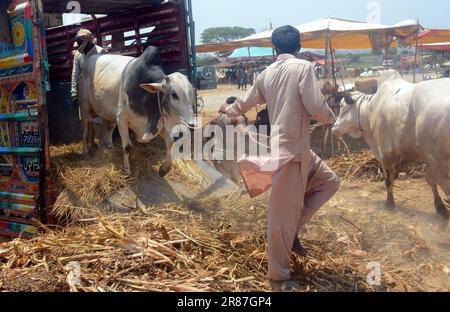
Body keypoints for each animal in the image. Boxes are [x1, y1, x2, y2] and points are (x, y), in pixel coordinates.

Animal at [332, 70, 448, 219]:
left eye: (342, 107)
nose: (334, 128)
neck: (370, 109)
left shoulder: (386, 153)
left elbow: (388, 179)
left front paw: (390, 203)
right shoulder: (419, 154)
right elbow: (430, 180)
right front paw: (440, 207)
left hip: (441, 160)